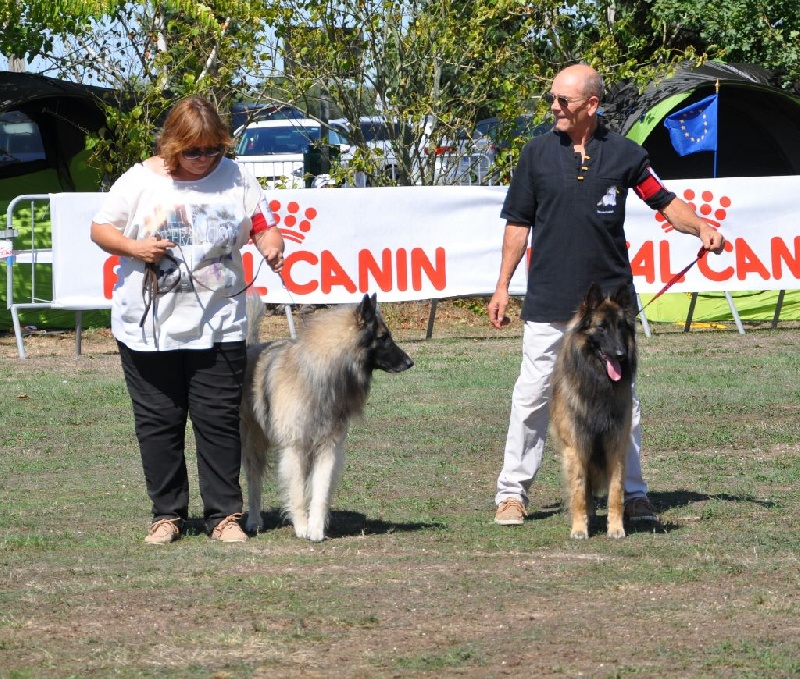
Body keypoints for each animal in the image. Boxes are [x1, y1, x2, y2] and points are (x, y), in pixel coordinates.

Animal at [239, 292, 412, 540]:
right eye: (383, 338)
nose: (410, 362)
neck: (322, 374)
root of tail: (251, 348)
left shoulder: (327, 447)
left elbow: (320, 491)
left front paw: (316, 529)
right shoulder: (295, 448)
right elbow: (297, 493)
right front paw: (302, 527)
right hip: (253, 442)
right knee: (254, 481)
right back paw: (254, 520)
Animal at [552, 282, 636, 540]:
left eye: (621, 327)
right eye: (601, 327)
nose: (620, 355)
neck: (599, 383)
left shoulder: (616, 445)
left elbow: (616, 493)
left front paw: (616, 527)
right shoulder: (576, 446)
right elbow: (579, 492)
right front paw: (579, 528)